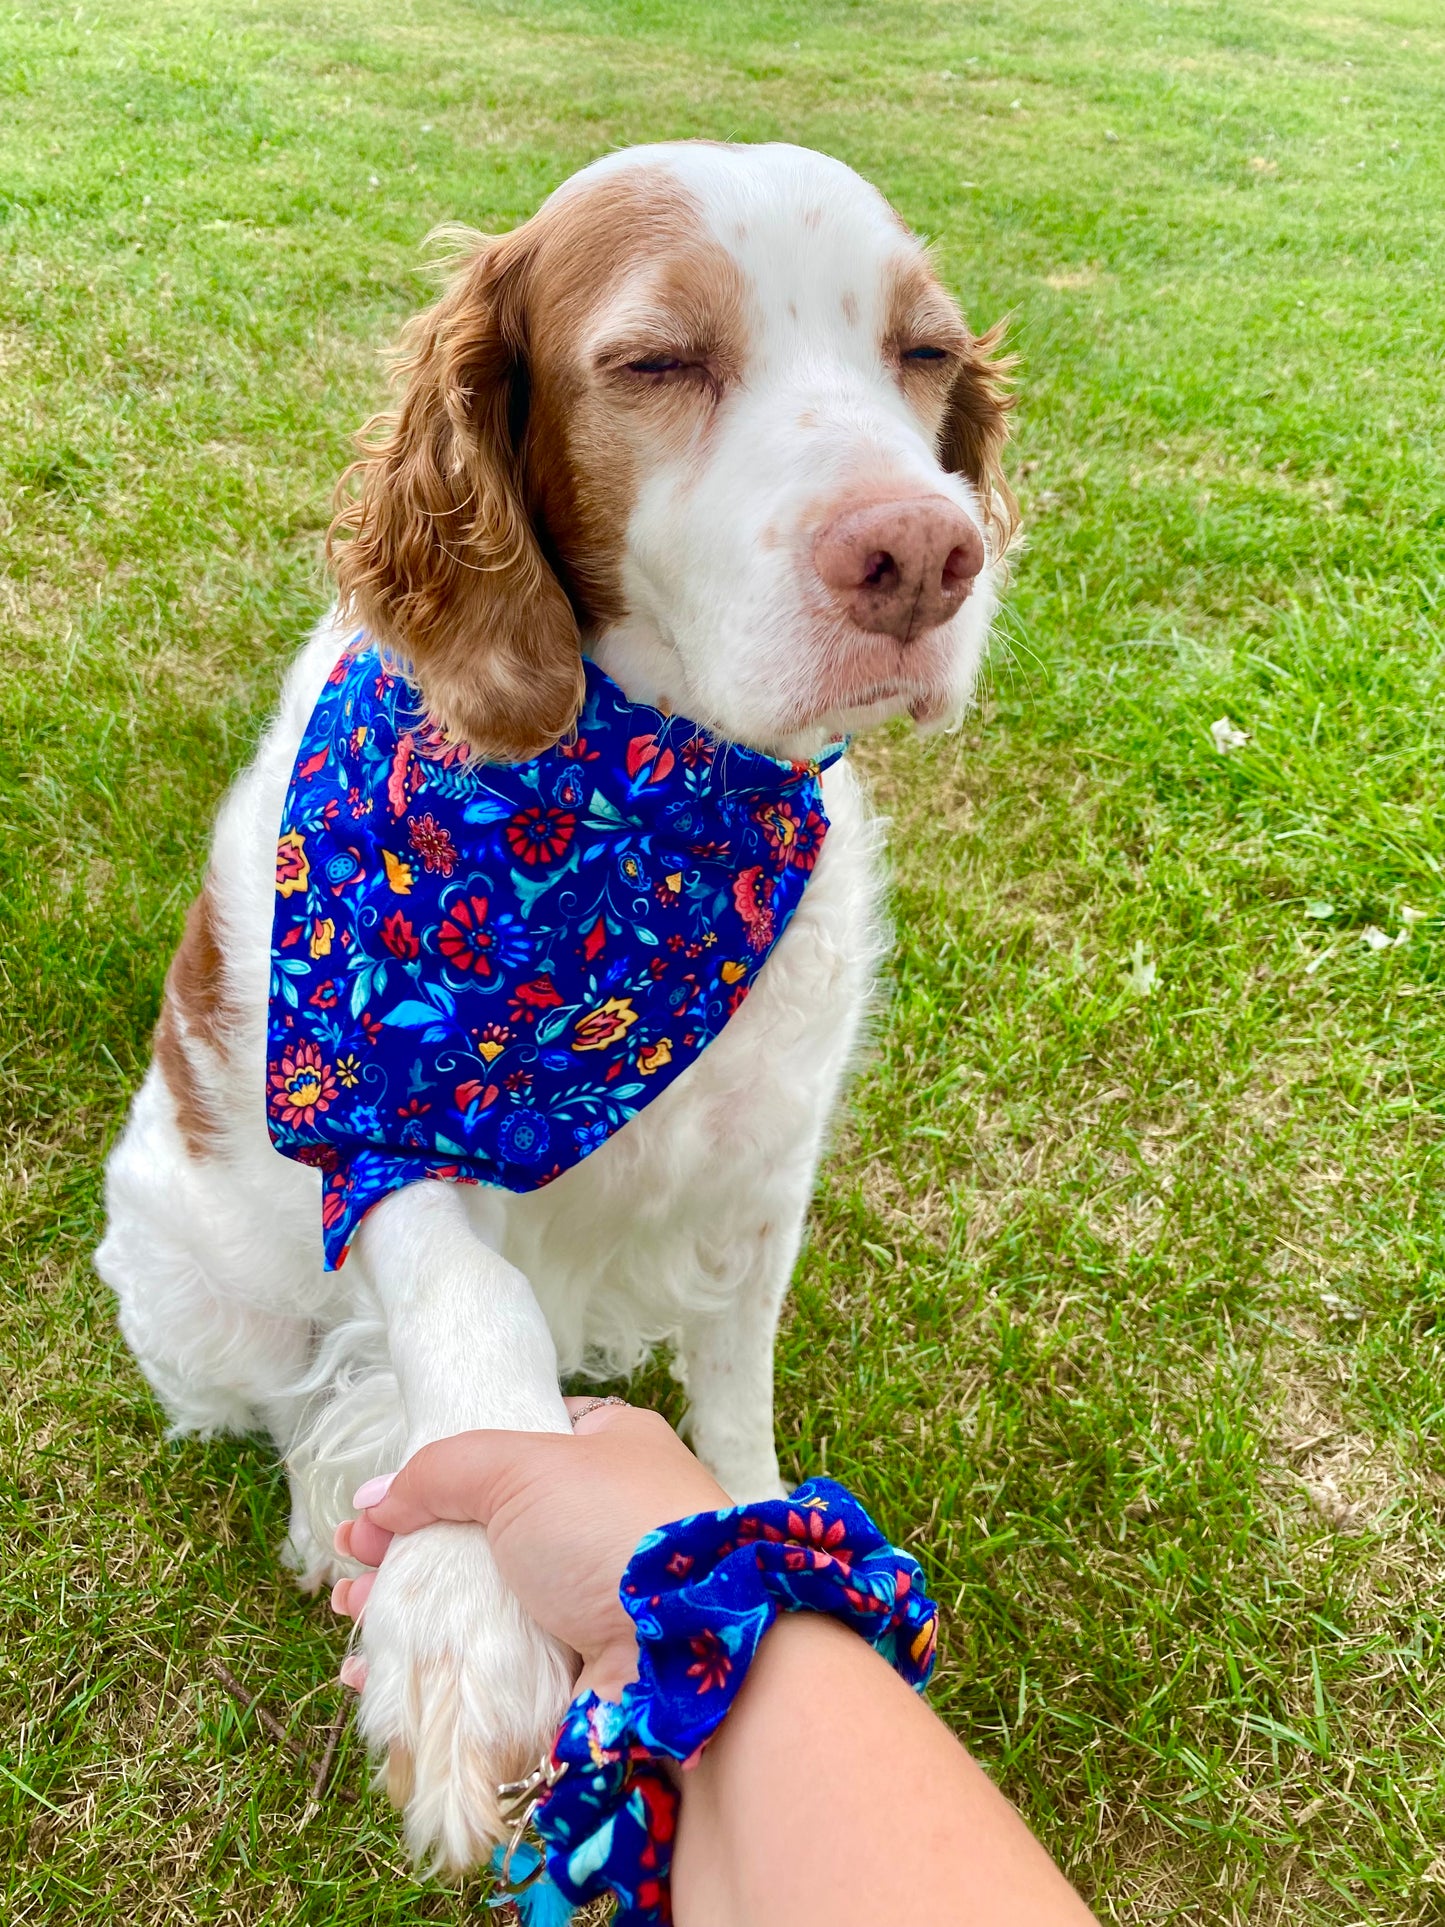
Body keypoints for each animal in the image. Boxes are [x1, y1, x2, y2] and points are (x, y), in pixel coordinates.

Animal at [96, 146, 1017, 1865]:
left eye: (922, 353)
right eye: (654, 360)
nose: (924, 553)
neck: (636, 809)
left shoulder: (763, 1172)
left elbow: (735, 1398)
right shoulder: (381, 1119)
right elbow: (469, 1319)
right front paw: (461, 1626)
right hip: (202, 1300)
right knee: (309, 1395)